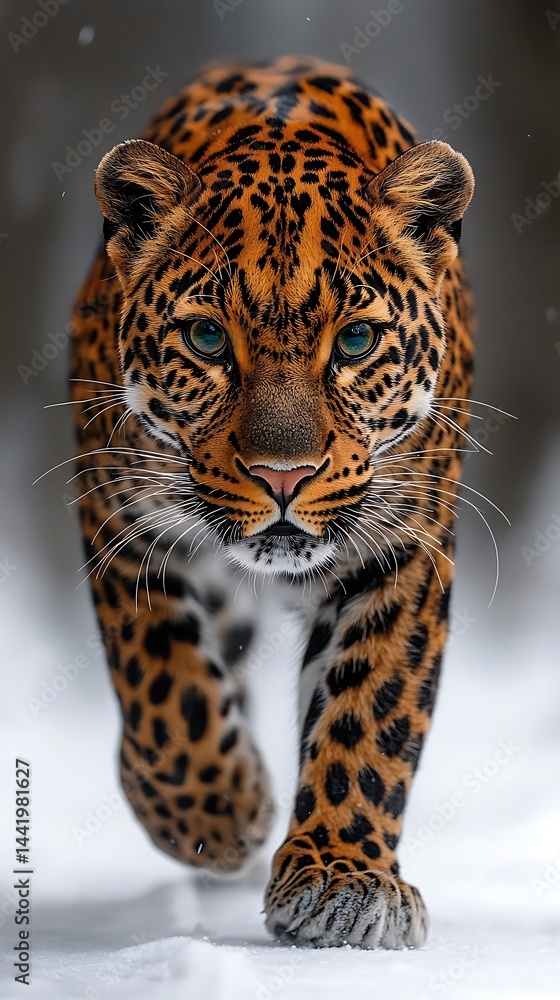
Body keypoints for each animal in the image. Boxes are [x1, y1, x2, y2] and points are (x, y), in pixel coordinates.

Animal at [69, 56, 475, 949]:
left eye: (356, 341)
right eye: (207, 339)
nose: (283, 475)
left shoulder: (403, 545)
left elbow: (370, 710)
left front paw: (341, 878)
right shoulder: (123, 522)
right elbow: (166, 687)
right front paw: (219, 812)